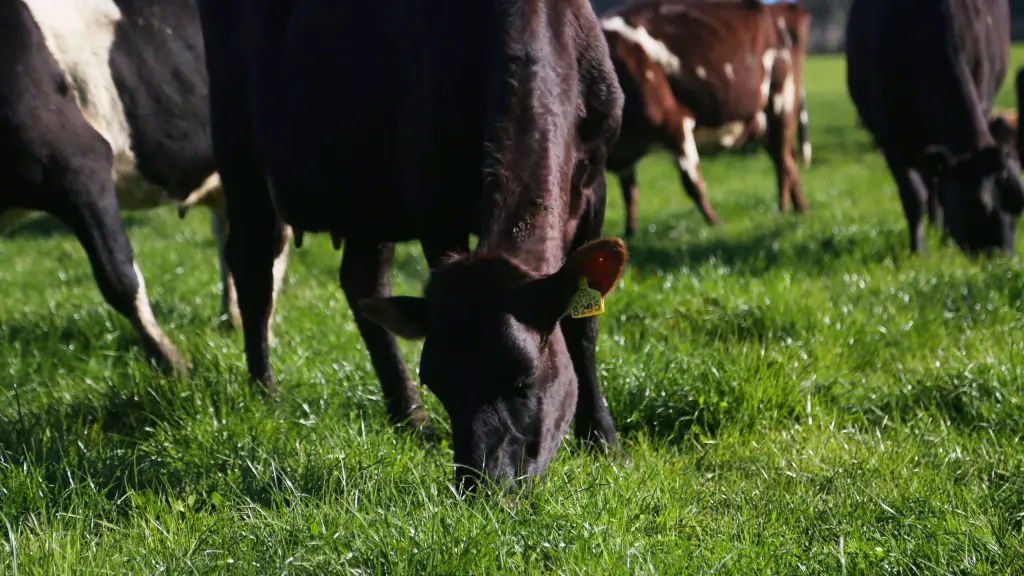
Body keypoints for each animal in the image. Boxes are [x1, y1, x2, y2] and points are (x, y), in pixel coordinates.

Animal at [192, 0, 622, 487]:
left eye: (523, 377)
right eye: (438, 380)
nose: (481, 482)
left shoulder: (596, 183)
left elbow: (583, 328)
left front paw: (603, 439)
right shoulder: (433, 199)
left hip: (366, 194)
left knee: (362, 282)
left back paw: (410, 417)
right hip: (239, 149)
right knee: (252, 267)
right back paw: (265, 390)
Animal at [598, 0, 806, 235]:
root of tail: (781, 7)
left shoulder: (675, 122)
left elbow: (692, 184)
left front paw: (715, 224)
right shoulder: (623, 153)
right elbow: (630, 193)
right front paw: (630, 233)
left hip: (781, 102)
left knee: (784, 163)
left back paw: (782, 211)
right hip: (763, 121)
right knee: (788, 160)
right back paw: (799, 209)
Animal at [847, 0, 1024, 253]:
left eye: (1019, 202)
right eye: (979, 204)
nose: (1004, 257)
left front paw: (946, 239)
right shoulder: (890, 138)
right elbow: (914, 197)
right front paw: (918, 251)